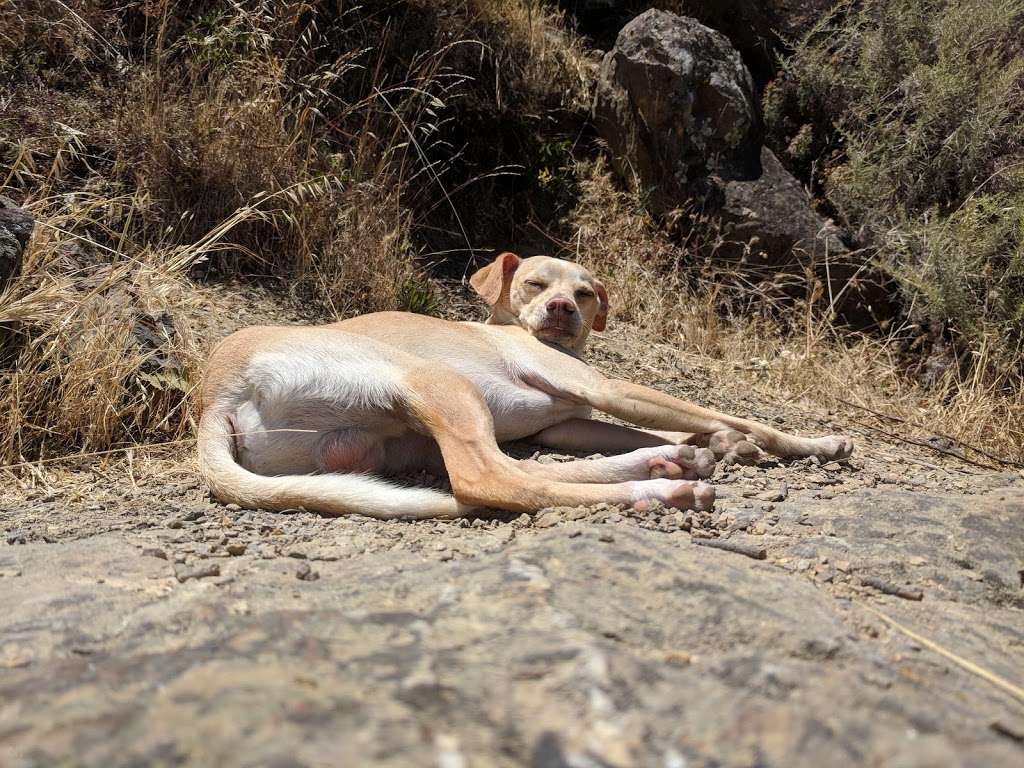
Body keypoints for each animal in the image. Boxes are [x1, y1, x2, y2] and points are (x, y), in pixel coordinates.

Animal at [195, 256, 851, 520]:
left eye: (585, 292)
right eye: (535, 283)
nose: (563, 309)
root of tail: (216, 394)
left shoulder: (571, 421)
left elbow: (668, 425)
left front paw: (714, 444)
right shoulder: (607, 387)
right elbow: (740, 417)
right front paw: (813, 443)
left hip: (399, 438)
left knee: (522, 470)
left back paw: (667, 464)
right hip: (442, 384)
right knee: (489, 478)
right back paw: (663, 489)